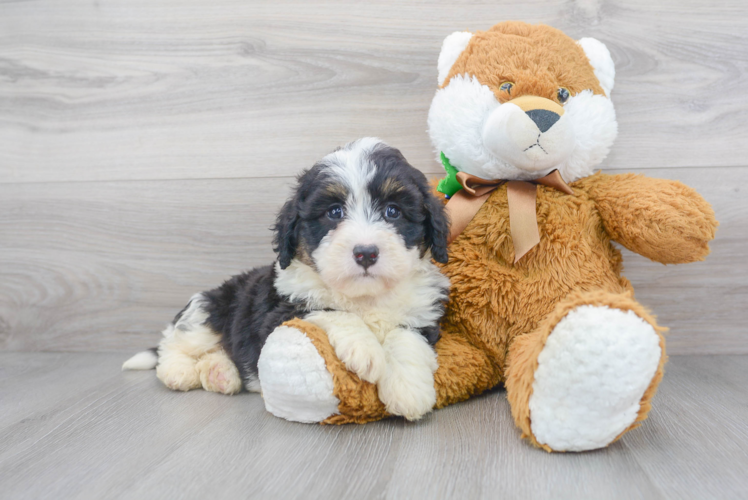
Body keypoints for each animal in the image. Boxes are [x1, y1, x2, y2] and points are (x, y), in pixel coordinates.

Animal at [124, 138, 450, 422]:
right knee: (175, 341)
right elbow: (331, 311)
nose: (366, 253)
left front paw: (408, 389)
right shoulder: (280, 311)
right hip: (210, 309)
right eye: (334, 212)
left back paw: (221, 372)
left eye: (393, 211)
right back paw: (179, 371)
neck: (364, 296)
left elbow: (406, 337)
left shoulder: (422, 313)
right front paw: (365, 350)